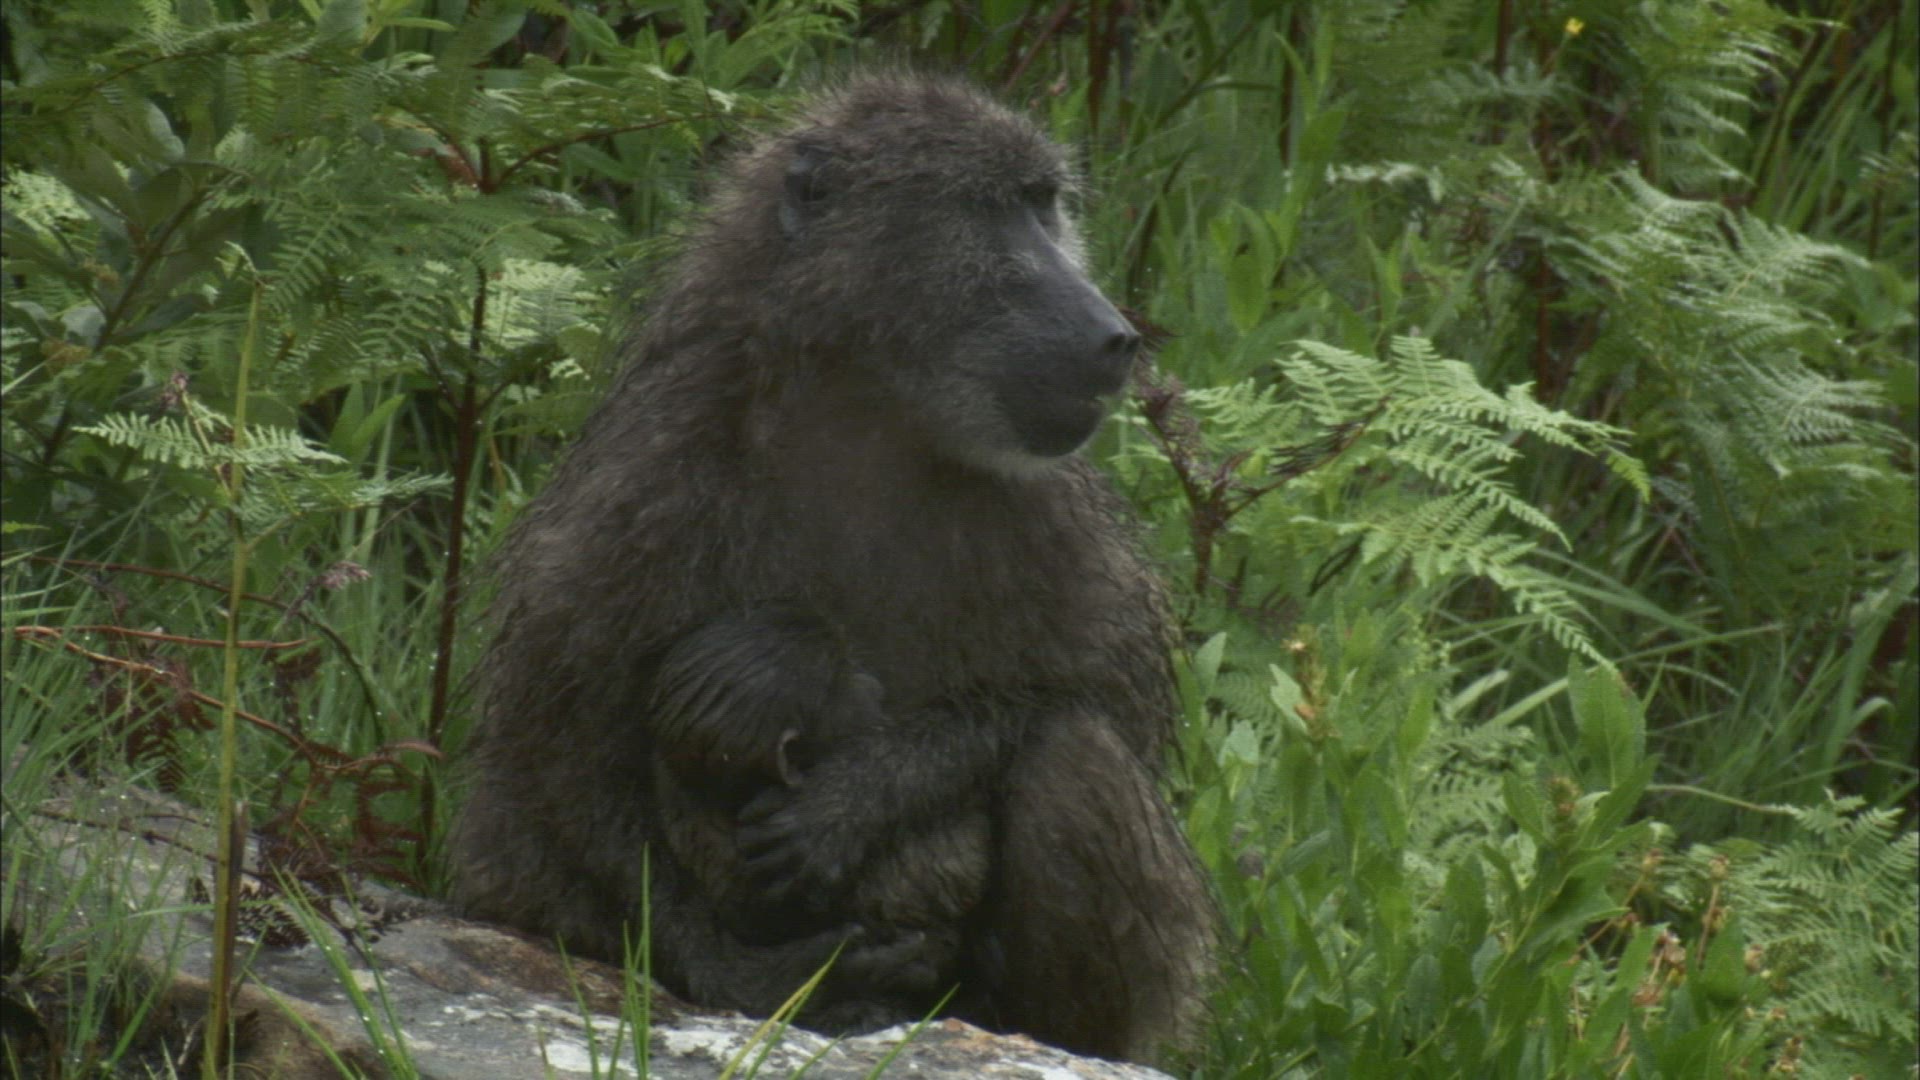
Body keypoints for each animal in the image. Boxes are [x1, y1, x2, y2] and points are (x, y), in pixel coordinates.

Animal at [449, 71, 1216, 1063]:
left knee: (1071, 755)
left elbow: (1103, 699)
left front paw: (857, 800)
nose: (1114, 335)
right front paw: (753, 976)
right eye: (992, 210)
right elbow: (552, 759)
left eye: (1044, 205)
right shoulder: (647, 474)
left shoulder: (1048, 498)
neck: (866, 410)